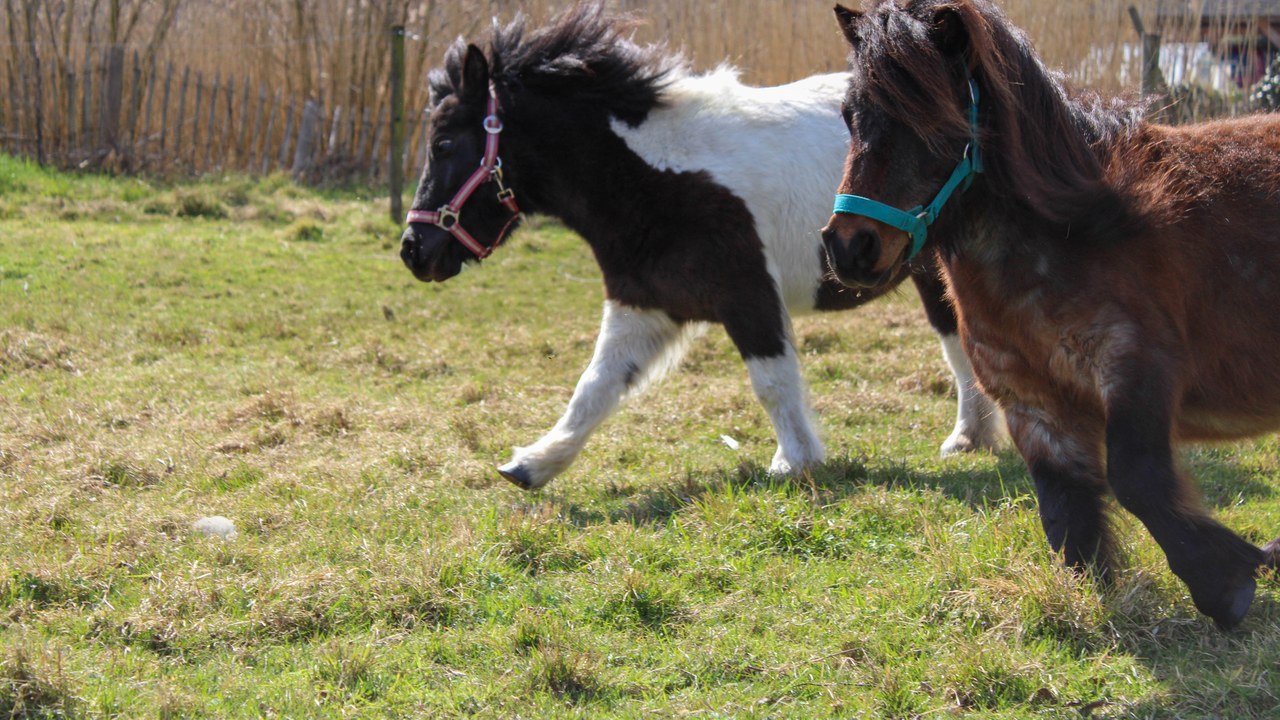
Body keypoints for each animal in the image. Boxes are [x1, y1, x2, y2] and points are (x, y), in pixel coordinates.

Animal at [399, 3, 1002, 492]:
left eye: (444, 143)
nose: (413, 250)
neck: (653, 177)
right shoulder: (642, 304)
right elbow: (593, 388)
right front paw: (531, 466)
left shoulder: (749, 295)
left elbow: (772, 382)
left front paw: (796, 462)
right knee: (957, 342)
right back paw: (969, 438)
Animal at [821, 0, 1280, 629]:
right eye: (849, 115)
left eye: (938, 122)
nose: (851, 247)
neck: (1076, 230)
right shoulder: (1031, 404)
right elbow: (1066, 515)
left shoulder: (1135, 365)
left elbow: (1137, 480)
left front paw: (1229, 580)